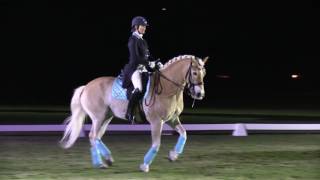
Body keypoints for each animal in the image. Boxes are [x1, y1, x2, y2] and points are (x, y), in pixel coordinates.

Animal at [60, 54, 208, 172]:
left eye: (204, 73)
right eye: (195, 73)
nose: (200, 94)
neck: (168, 88)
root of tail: (86, 87)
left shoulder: (172, 119)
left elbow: (184, 134)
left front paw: (173, 155)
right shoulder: (156, 121)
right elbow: (156, 144)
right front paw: (144, 165)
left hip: (106, 117)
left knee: (96, 137)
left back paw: (107, 159)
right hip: (98, 117)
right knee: (92, 136)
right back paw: (99, 163)